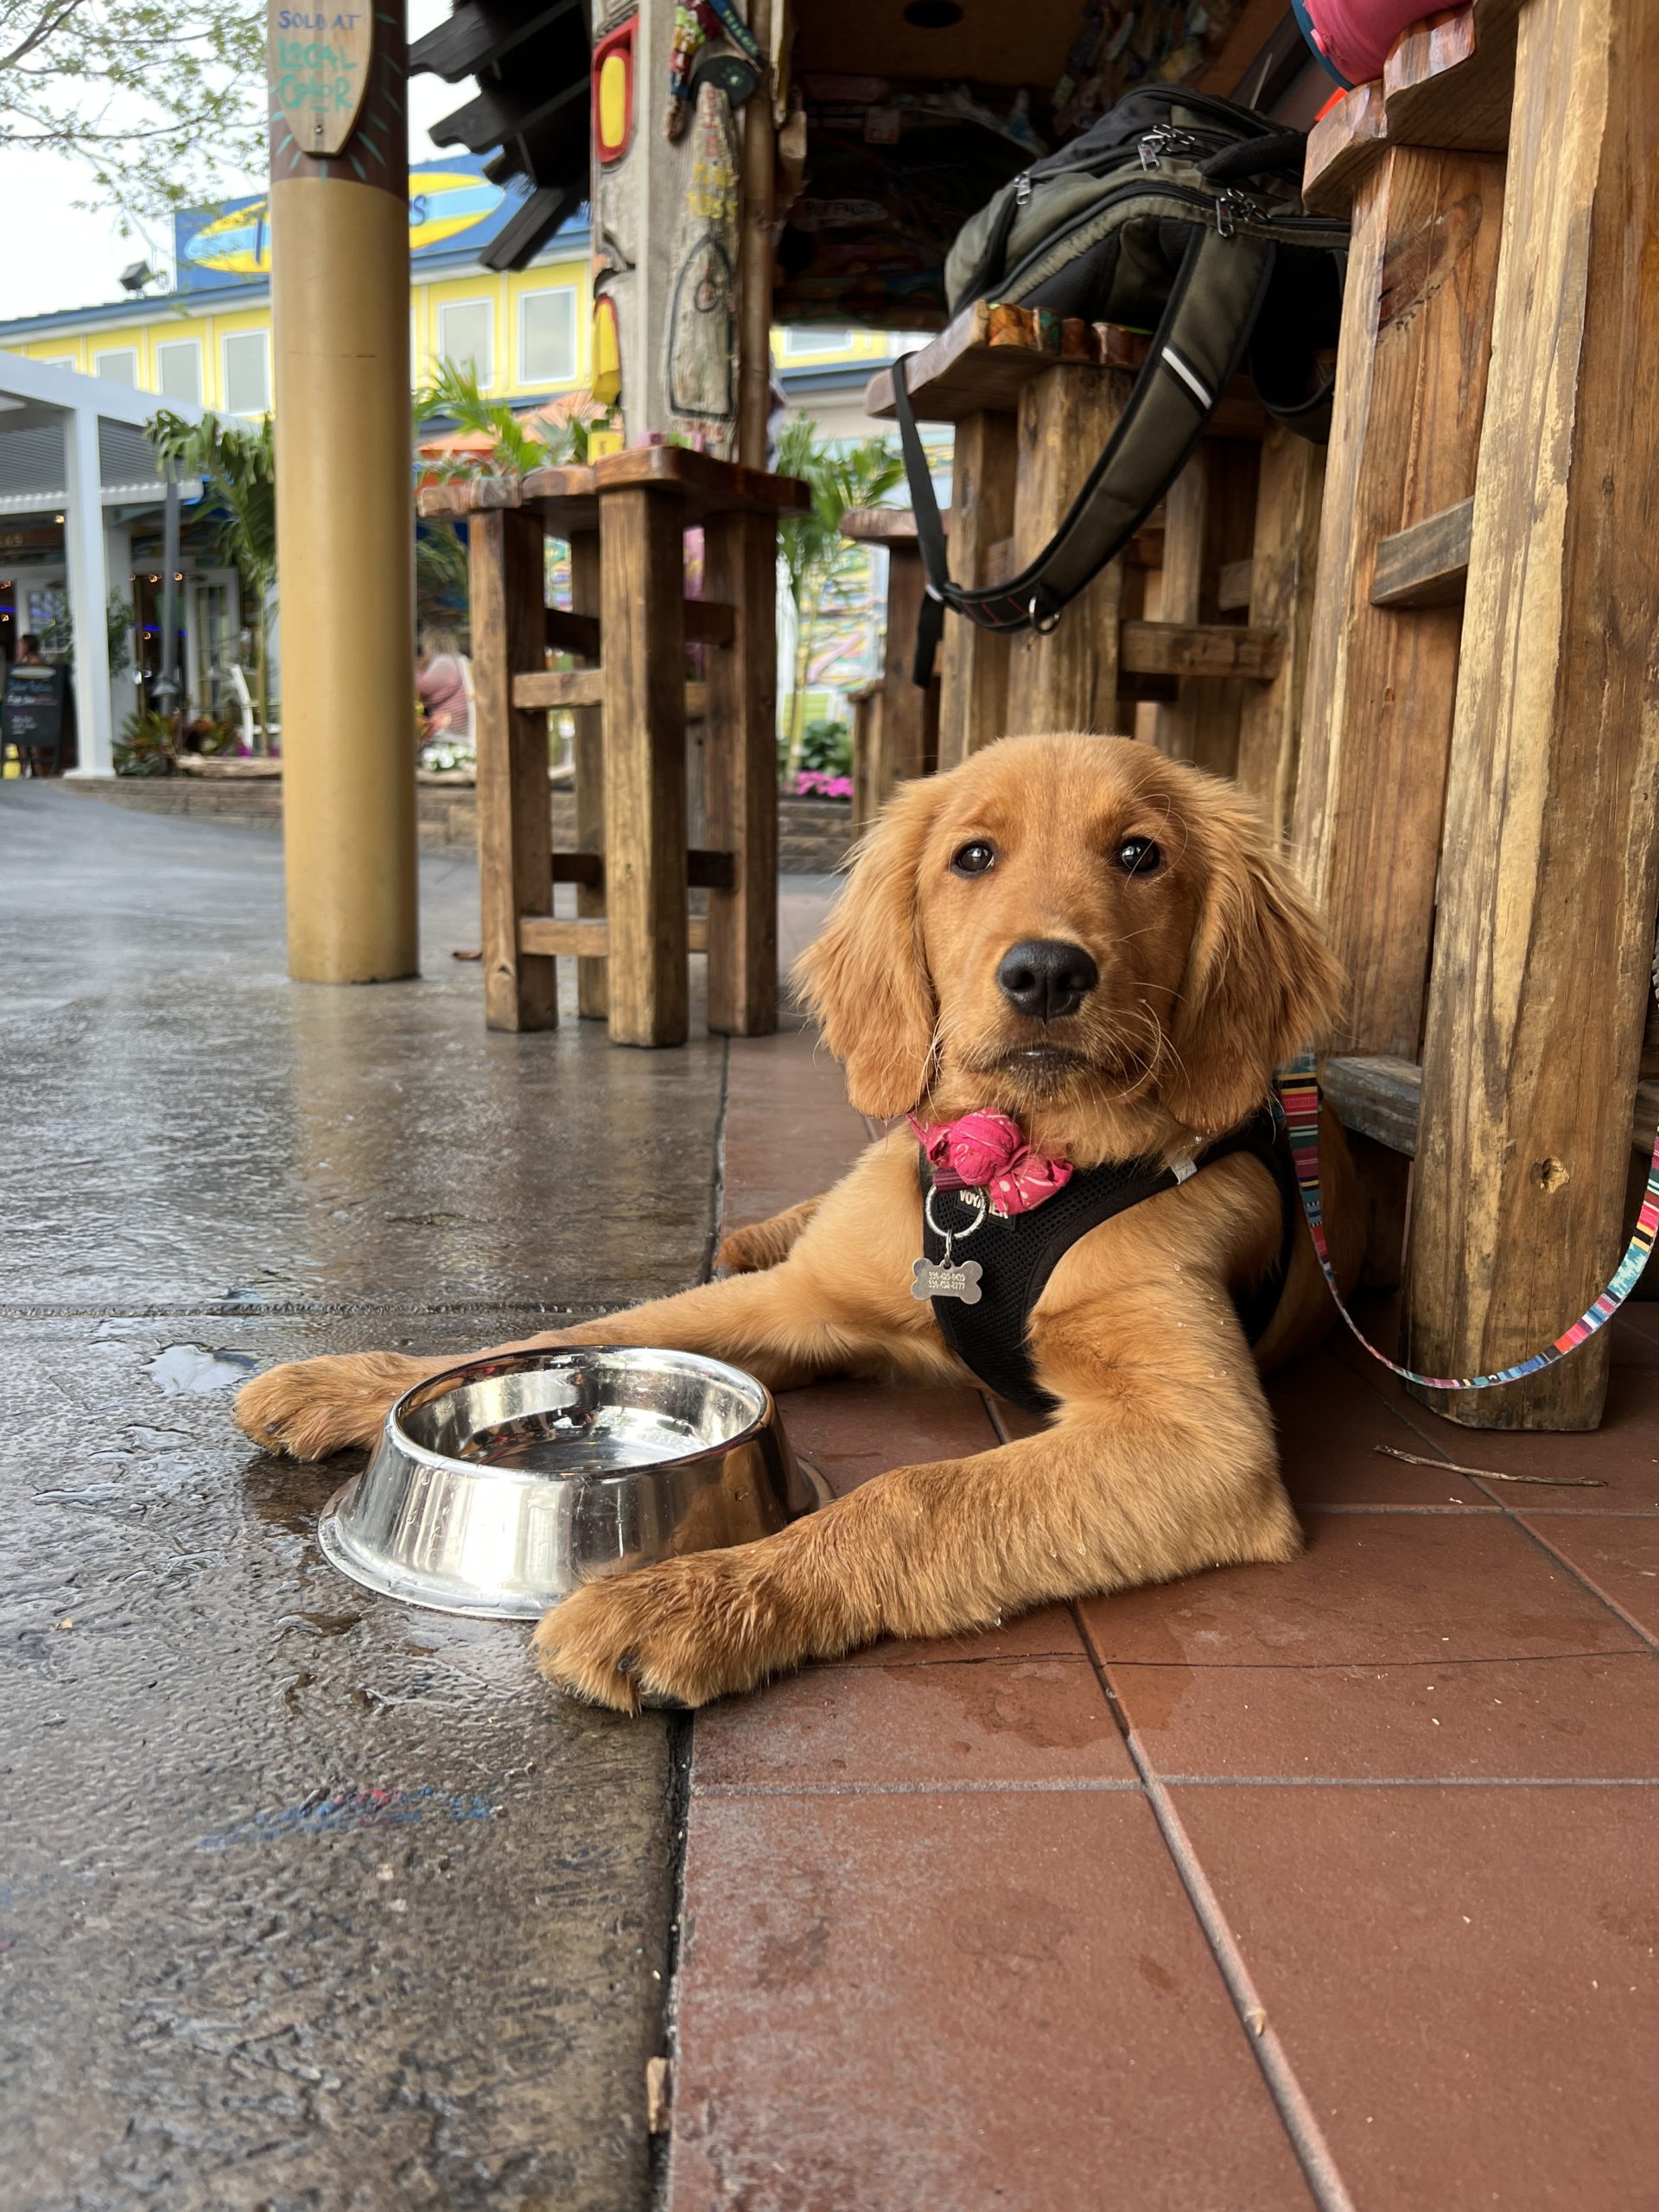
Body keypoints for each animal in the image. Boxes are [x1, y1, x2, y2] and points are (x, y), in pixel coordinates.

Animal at [239, 739, 1371, 1707]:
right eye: (973, 855)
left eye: (1141, 854)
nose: (1046, 973)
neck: (1001, 1179)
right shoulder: (802, 1298)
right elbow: (587, 1331)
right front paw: (356, 1384)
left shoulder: (1203, 1437)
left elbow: (912, 1496)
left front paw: (690, 1597)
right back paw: (755, 1227)